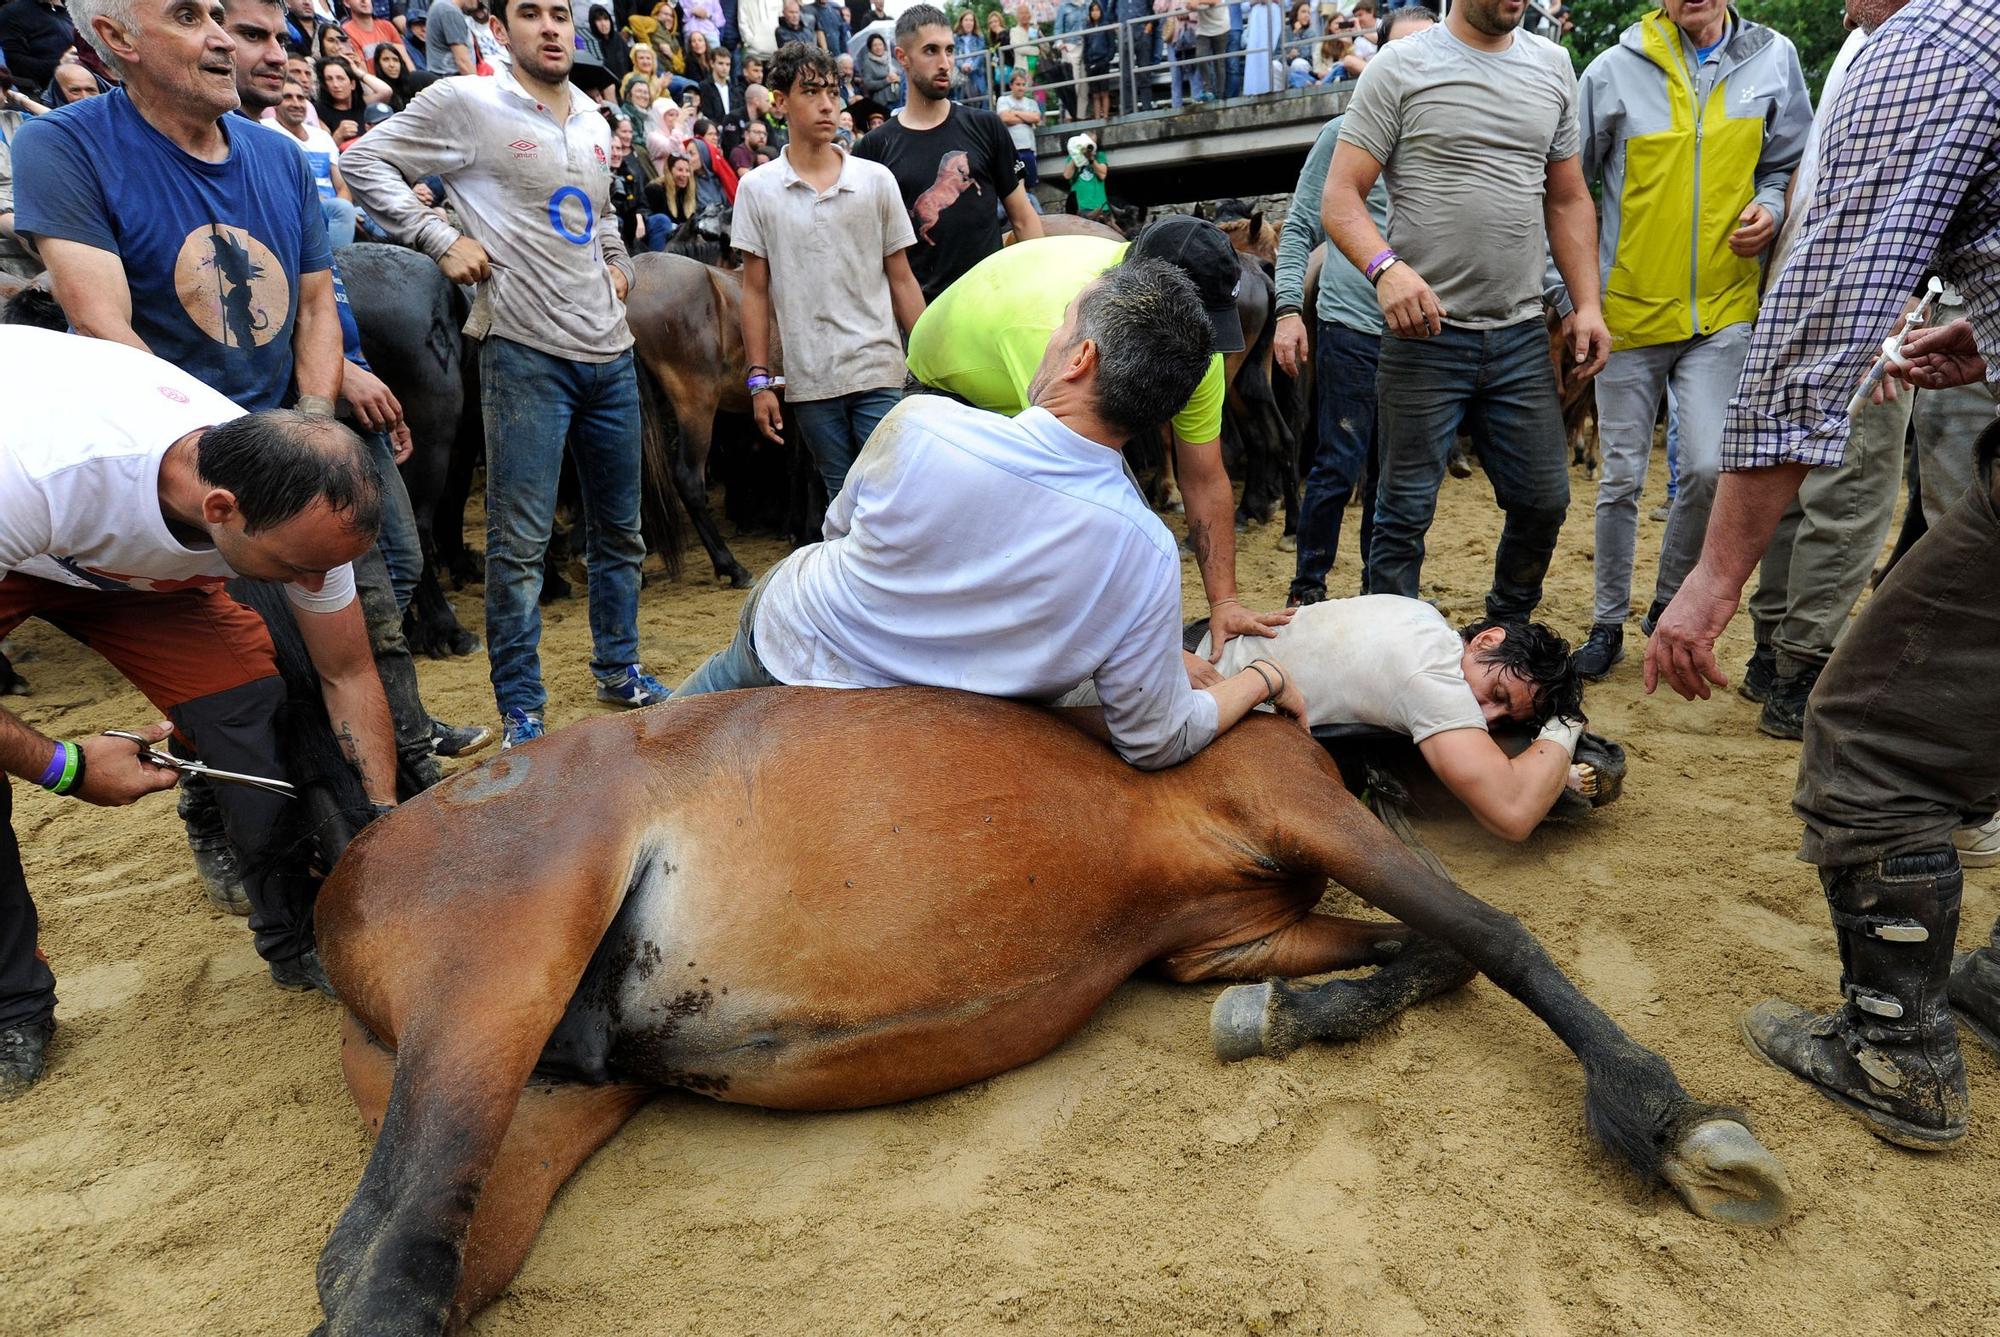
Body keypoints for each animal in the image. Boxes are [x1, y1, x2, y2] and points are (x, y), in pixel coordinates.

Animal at [316, 688, 1800, 1337]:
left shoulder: (1227, 934)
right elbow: (1492, 935)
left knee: (389, 1263)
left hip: (549, 1092)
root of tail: (346, 869)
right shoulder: (1292, 806)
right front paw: (1666, 1119)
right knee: (385, 1272)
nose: (1610, 755)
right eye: (1537, 689)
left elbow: (1420, 959)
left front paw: (1285, 1018)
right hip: (497, 981)